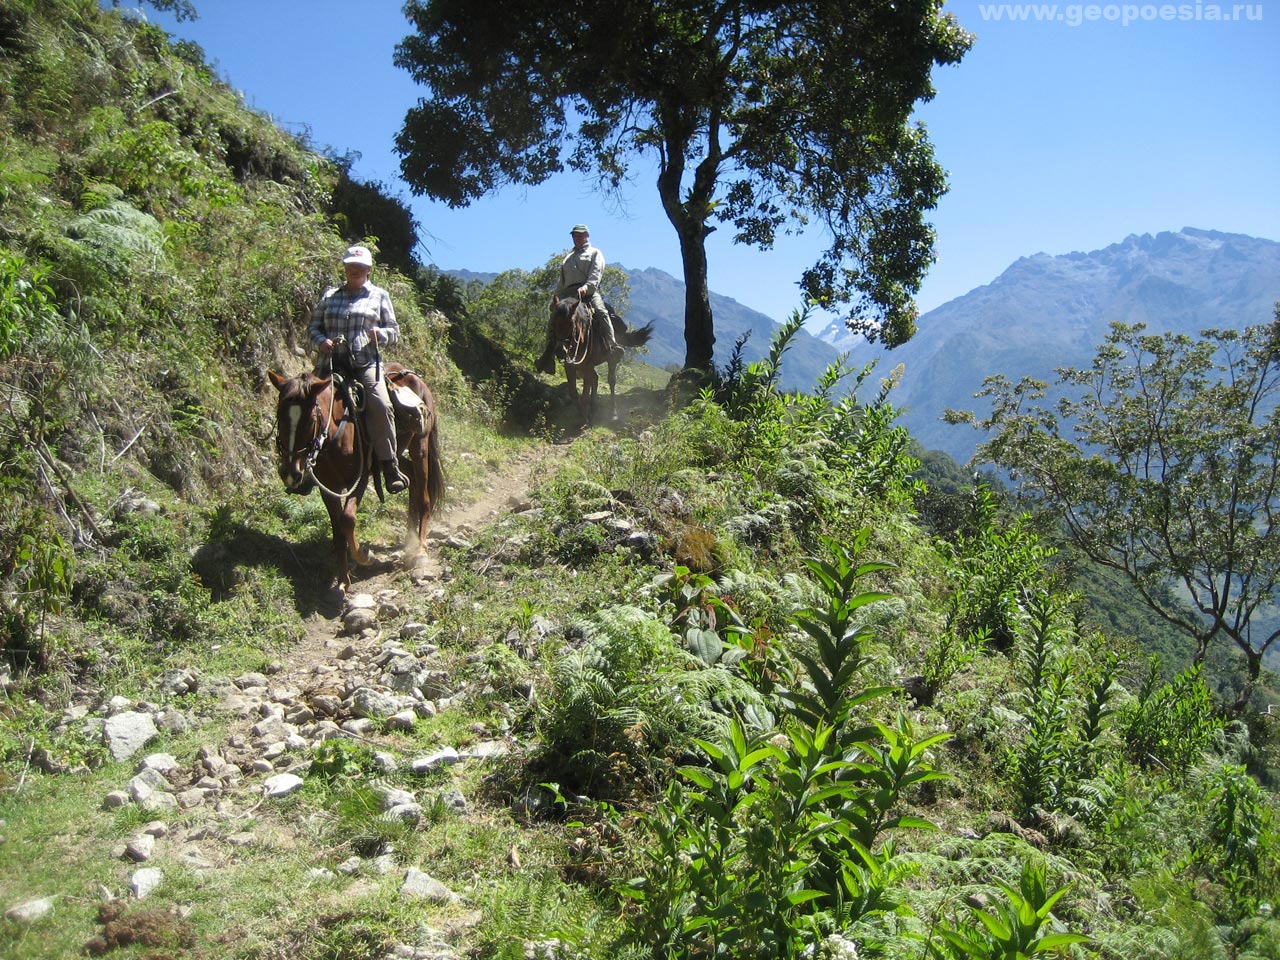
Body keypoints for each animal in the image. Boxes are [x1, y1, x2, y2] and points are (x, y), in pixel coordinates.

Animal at [266, 366, 445, 586]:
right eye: (280, 416)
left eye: (310, 420)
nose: (291, 473)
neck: (335, 435)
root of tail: (413, 376)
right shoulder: (328, 488)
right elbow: (338, 530)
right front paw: (343, 581)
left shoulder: (361, 478)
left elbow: (348, 519)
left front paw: (365, 557)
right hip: (393, 453)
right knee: (408, 476)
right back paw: (408, 537)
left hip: (420, 445)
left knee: (424, 496)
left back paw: (420, 549)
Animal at [547, 296, 655, 424]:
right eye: (553, 323)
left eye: (571, 325)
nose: (560, 351)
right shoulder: (570, 366)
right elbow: (573, 392)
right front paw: (582, 414)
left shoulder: (587, 366)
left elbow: (585, 394)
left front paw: (584, 419)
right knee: (596, 379)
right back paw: (593, 408)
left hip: (611, 360)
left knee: (611, 381)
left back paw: (613, 413)